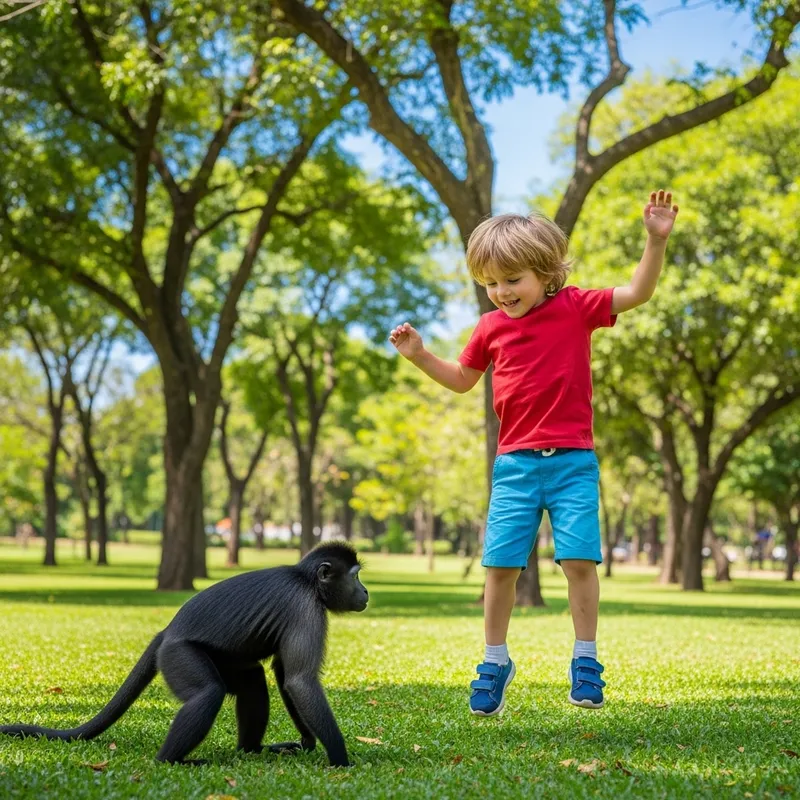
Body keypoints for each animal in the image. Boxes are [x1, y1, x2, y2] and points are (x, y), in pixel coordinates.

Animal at [0, 542, 368, 767]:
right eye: (355, 576)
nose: (365, 591)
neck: (305, 580)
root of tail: (167, 632)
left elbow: (284, 672)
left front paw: (307, 741)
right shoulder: (306, 608)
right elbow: (300, 680)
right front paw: (340, 760)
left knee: (251, 679)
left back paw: (251, 750)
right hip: (177, 656)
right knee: (208, 693)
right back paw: (171, 760)